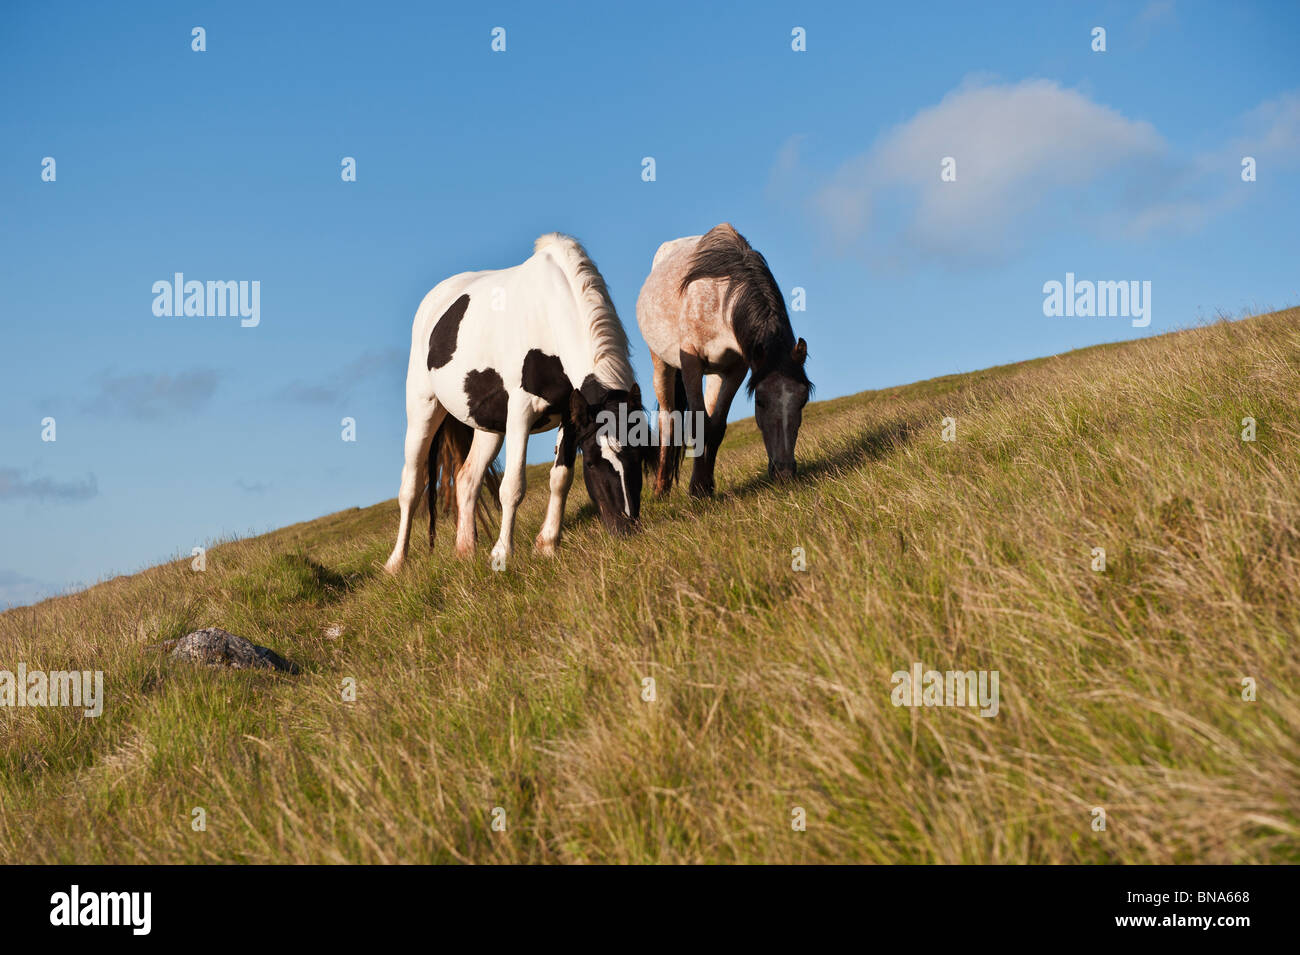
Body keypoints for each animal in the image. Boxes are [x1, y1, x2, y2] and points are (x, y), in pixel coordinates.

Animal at [384, 235, 650, 574]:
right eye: (592, 463)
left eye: (640, 453)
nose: (627, 529)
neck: (549, 311)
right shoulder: (521, 413)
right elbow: (512, 487)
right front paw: (502, 554)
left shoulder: (570, 413)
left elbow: (560, 478)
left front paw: (547, 545)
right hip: (423, 410)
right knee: (412, 486)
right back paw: (396, 562)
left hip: (488, 426)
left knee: (467, 479)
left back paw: (465, 550)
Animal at [634, 222, 806, 501]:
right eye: (760, 401)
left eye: (803, 400)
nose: (784, 472)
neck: (719, 296)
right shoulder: (691, 363)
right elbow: (696, 423)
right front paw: (696, 490)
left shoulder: (736, 369)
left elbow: (715, 427)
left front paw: (703, 486)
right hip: (661, 363)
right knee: (668, 418)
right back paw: (661, 489)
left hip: (715, 372)